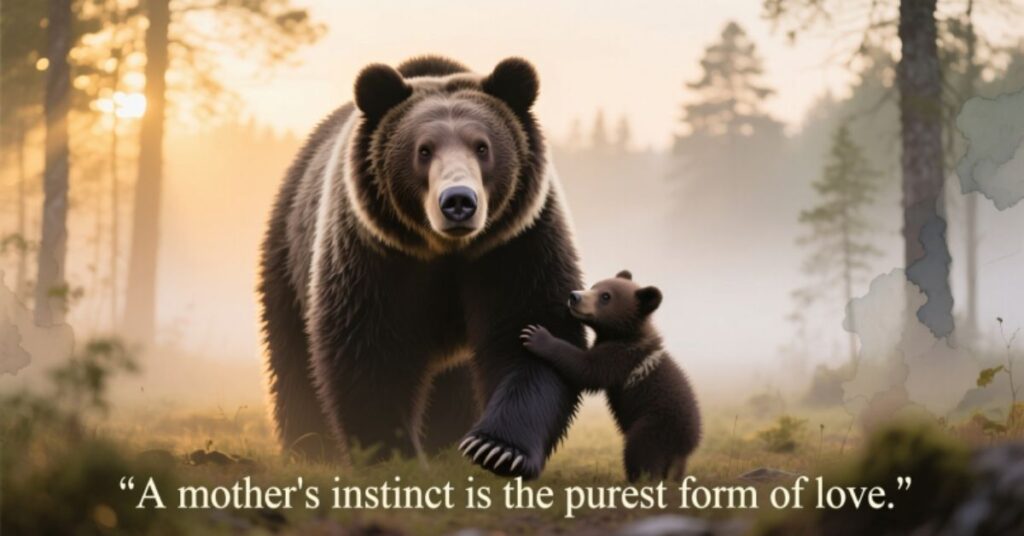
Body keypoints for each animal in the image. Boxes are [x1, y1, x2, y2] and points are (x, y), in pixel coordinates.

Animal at [258, 55, 585, 479]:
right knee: (293, 356)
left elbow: (534, 328)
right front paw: (394, 455)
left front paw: (496, 449)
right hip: (288, 255)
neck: (447, 250)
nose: (459, 200)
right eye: (424, 150)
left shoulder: (516, 244)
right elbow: (370, 348)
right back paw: (310, 447)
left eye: (482, 146)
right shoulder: (375, 254)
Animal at [518, 270, 701, 482]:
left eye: (606, 296)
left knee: (641, 452)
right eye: (594, 286)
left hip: (655, 425)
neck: (623, 334)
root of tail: (690, 441)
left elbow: (586, 369)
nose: (574, 296)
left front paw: (537, 336)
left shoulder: (621, 357)